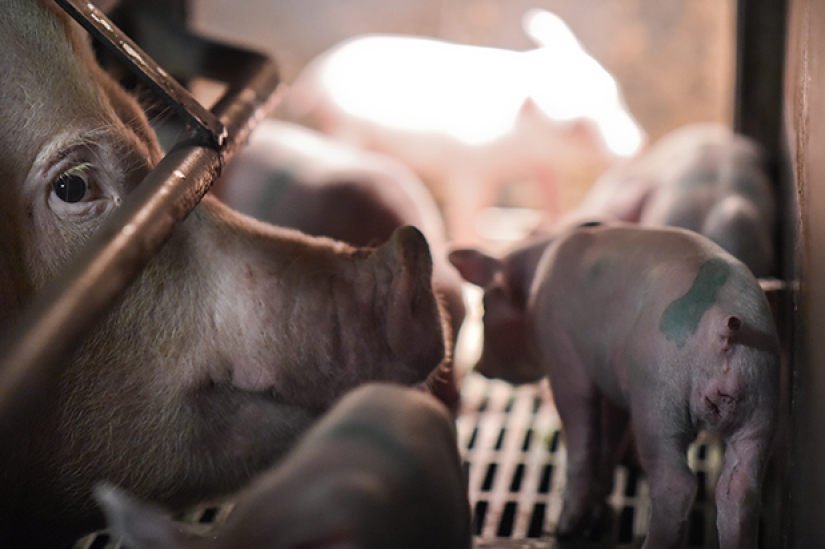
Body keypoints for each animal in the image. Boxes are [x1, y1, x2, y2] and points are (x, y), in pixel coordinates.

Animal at [280, 7, 648, 243]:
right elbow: (468, 210)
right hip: (345, 129)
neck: (521, 145)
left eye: (615, 96)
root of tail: (319, 69)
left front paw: (552, 224)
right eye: (578, 127)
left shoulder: (543, 164)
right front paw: (471, 242)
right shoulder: (469, 170)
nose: (633, 147)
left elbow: (552, 193)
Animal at [450, 224, 780, 548]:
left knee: (677, 485)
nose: (478, 367)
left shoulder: (563, 356)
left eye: (484, 308)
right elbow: (609, 437)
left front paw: (565, 529)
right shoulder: (614, 385)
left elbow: (582, 440)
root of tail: (724, 329)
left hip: (659, 397)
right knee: (741, 490)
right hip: (760, 401)